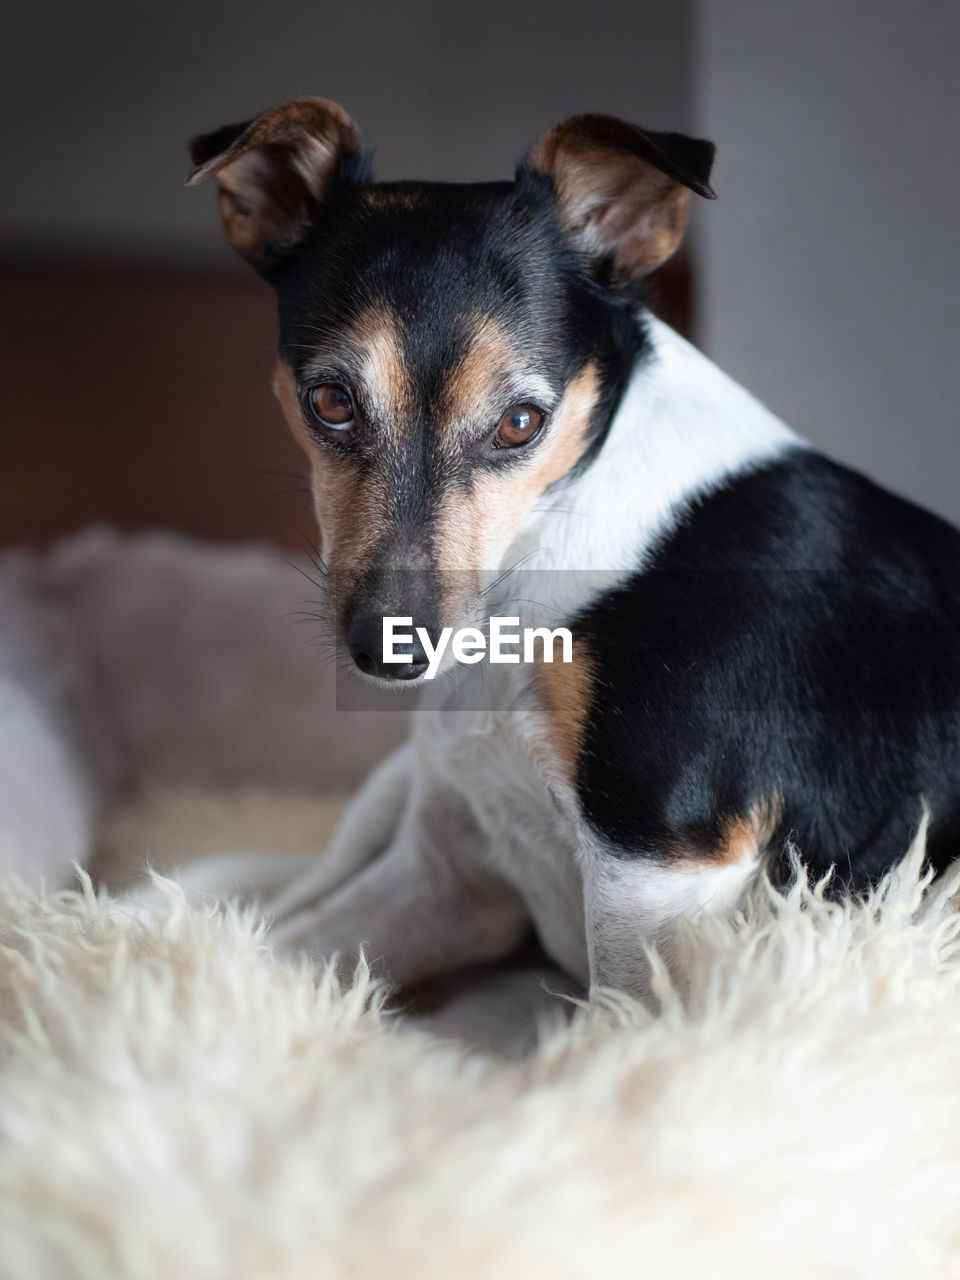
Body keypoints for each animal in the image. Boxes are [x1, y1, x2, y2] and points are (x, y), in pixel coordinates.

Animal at [185, 97, 960, 998]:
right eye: (331, 402)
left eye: (523, 422)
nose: (390, 650)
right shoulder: (447, 882)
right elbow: (266, 962)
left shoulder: (652, 882)